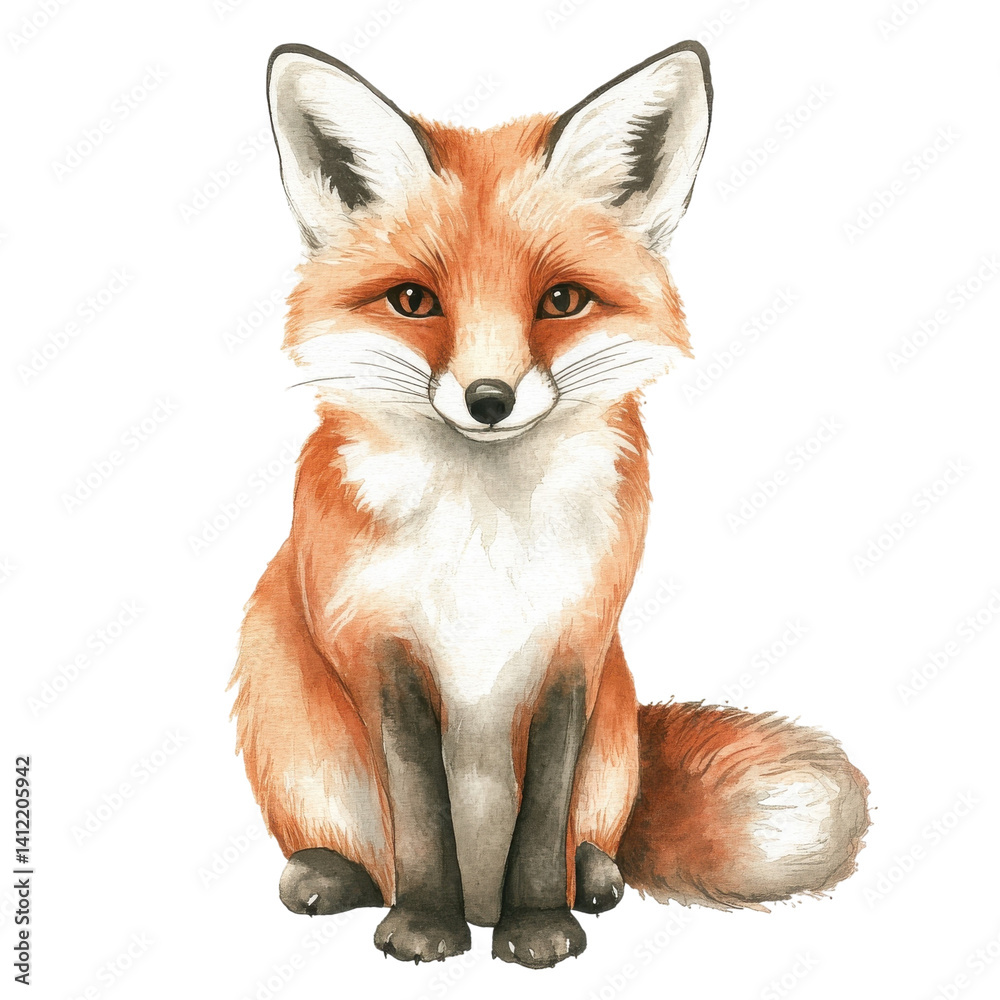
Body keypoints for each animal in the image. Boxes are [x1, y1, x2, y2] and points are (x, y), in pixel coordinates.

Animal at [230, 40, 870, 969]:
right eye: (414, 301)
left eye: (561, 300)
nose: (489, 399)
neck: (484, 539)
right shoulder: (379, 649)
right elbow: (418, 813)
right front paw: (425, 925)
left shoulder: (576, 646)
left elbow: (544, 815)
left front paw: (538, 926)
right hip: (282, 700)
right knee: (357, 854)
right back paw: (330, 876)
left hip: (615, 731)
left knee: (594, 835)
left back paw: (593, 878)